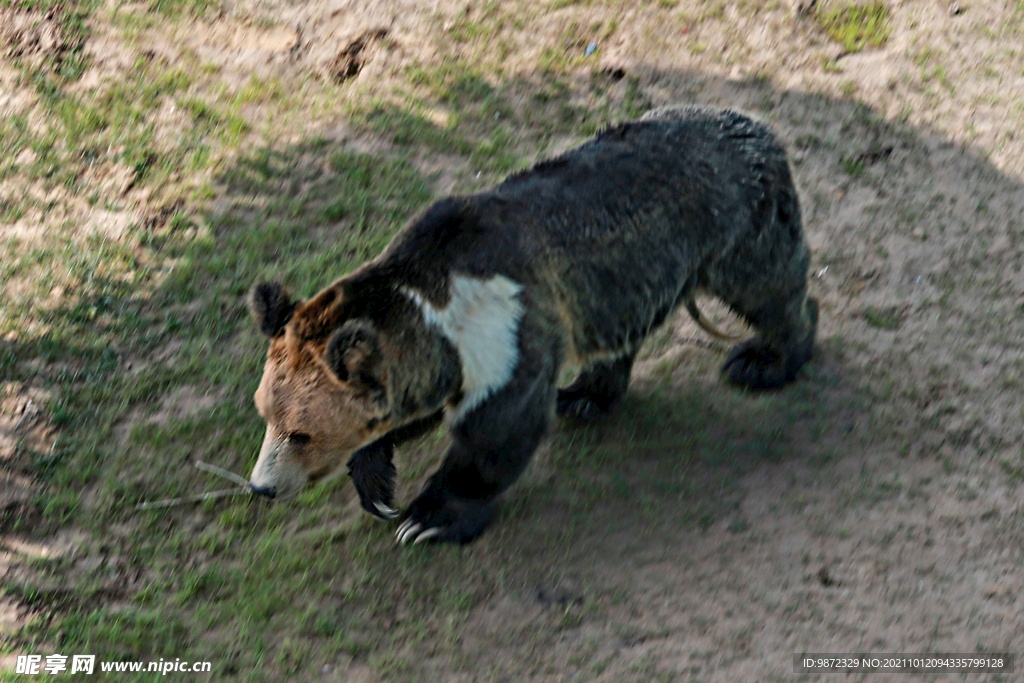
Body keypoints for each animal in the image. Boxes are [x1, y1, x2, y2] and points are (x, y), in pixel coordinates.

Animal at [247, 105, 818, 545]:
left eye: (301, 433)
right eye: (267, 414)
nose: (262, 487)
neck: (438, 307)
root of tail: (759, 127)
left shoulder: (506, 331)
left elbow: (497, 432)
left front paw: (428, 519)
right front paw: (376, 483)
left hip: (735, 223)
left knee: (770, 287)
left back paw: (764, 359)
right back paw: (585, 395)